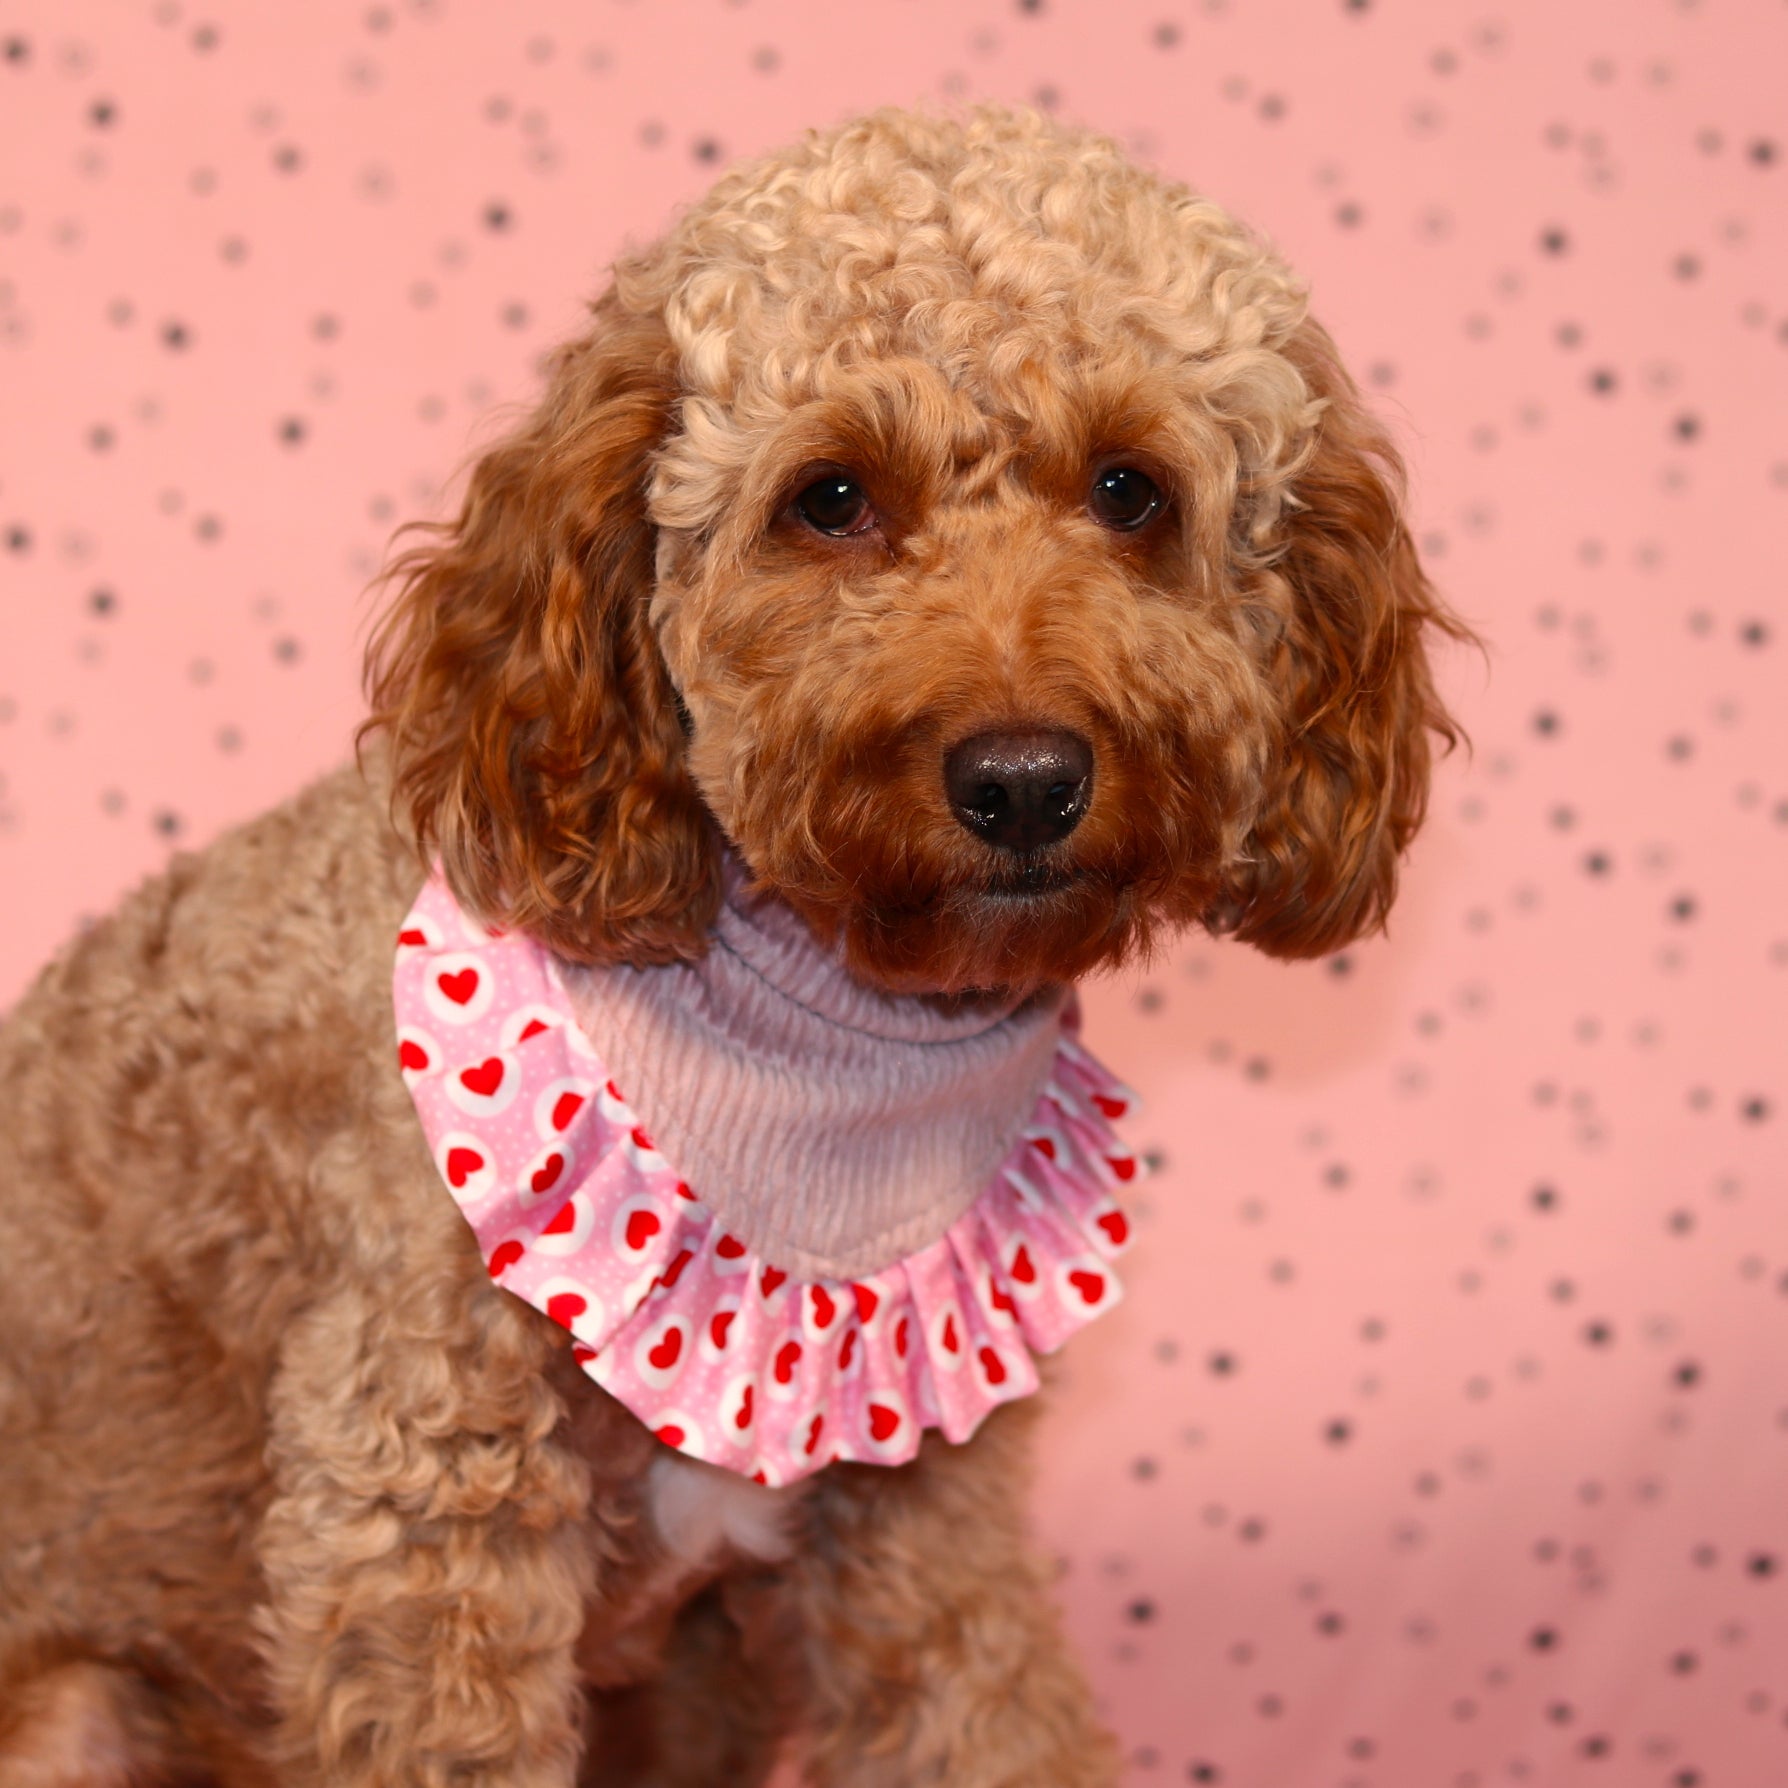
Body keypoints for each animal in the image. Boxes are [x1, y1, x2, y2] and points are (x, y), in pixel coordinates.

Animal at [0, 104, 1451, 1780]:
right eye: (830, 498)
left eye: (1130, 489)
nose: (1024, 780)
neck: (826, 1043)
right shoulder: (425, 1510)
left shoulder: (921, 1530)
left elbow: (982, 1714)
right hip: (83, 1704)